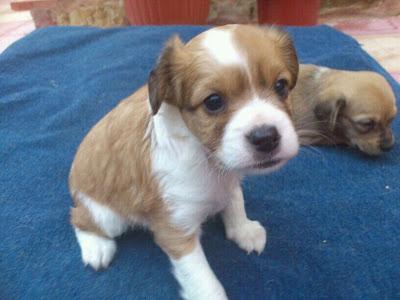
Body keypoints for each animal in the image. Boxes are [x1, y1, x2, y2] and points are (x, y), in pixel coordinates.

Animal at [69, 24, 300, 298]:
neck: (206, 158)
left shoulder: (228, 180)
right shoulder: (176, 230)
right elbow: (204, 283)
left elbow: (235, 198)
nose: (266, 137)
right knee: (79, 218)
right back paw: (97, 247)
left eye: (281, 86)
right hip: (108, 217)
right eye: (213, 102)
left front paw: (243, 228)